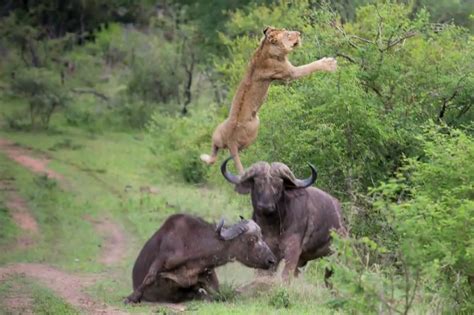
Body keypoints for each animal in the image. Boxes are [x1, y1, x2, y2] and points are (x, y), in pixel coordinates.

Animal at [124, 214, 276, 304]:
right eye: (252, 239)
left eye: (261, 236)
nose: (272, 260)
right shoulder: (163, 258)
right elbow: (149, 277)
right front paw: (132, 297)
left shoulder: (208, 275)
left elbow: (219, 294)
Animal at [201, 26, 336, 175]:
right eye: (288, 34)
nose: (299, 33)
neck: (265, 48)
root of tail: (231, 141)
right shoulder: (290, 73)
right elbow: (310, 66)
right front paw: (329, 63)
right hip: (255, 127)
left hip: (218, 133)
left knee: (214, 152)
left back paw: (204, 157)